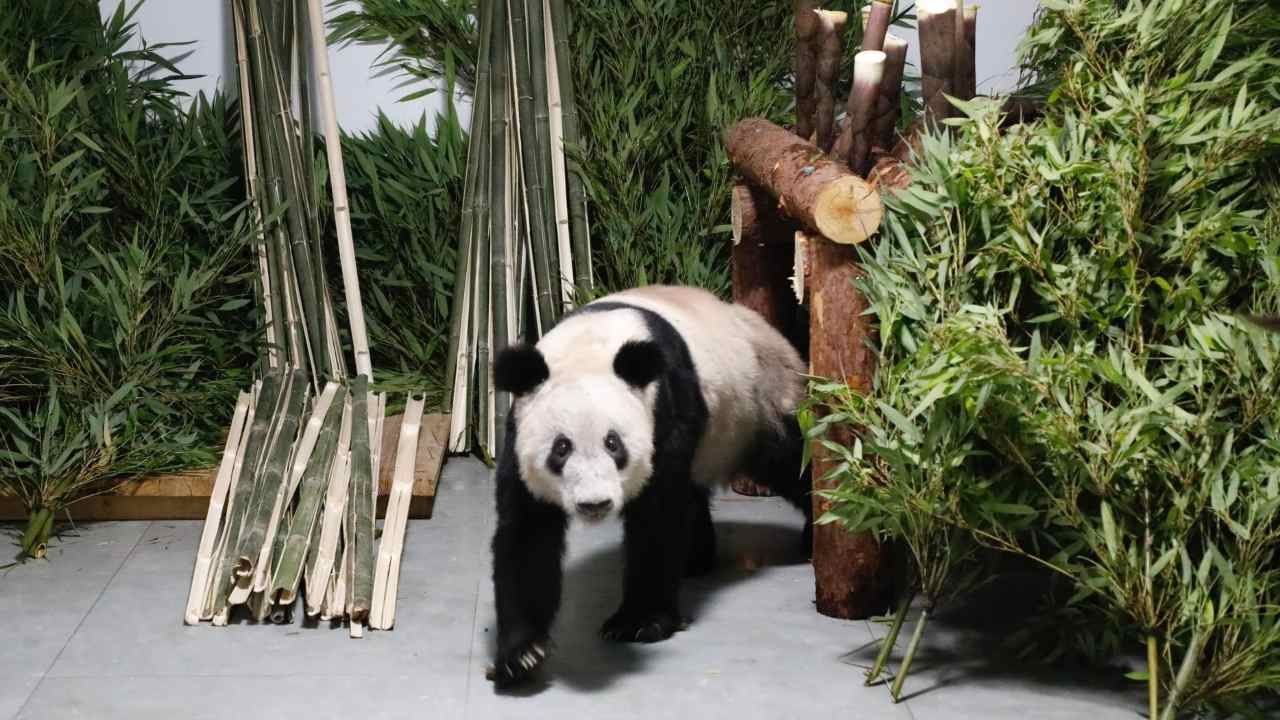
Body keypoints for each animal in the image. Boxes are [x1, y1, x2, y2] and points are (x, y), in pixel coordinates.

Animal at [486, 283, 808, 686]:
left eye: (613, 444)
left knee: (793, 460)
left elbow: (658, 516)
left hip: (760, 400)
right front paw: (522, 653)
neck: (589, 345)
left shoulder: (665, 411)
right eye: (561, 448)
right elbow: (528, 534)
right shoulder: (519, 435)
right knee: (695, 493)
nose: (594, 504)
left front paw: (639, 623)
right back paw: (695, 559)